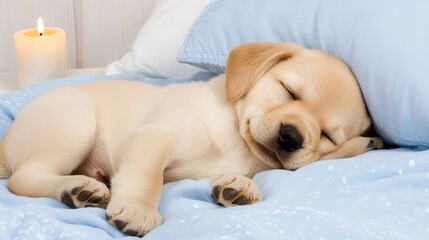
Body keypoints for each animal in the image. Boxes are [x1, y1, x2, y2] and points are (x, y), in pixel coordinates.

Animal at [0, 42, 382, 236]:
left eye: (328, 135)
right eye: (289, 91)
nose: (291, 137)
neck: (233, 133)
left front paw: (240, 186)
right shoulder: (156, 136)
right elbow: (147, 176)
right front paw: (138, 209)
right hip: (74, 124)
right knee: (24, 178)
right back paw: (78, 188)